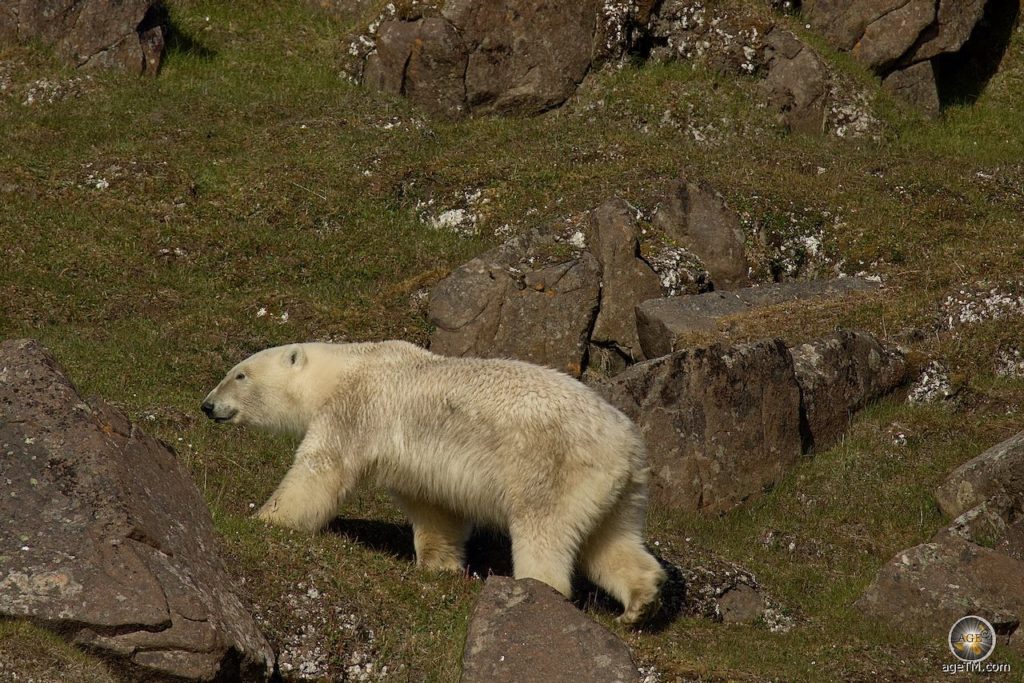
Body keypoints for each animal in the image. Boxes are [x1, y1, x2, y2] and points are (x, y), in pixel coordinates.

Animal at [203, 342, 667, 626]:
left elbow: (319, 468)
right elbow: (434, 510)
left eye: (239, 374)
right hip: (618, 490)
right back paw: (640, 604)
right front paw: (439, 563)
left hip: (554, 467)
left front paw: (265, 518)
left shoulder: (356, 410)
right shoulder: (411, 461)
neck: (349, 366)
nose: (207, 405)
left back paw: (534, 587)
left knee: (544, 530)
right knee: (611, 542)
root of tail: (625, 445)